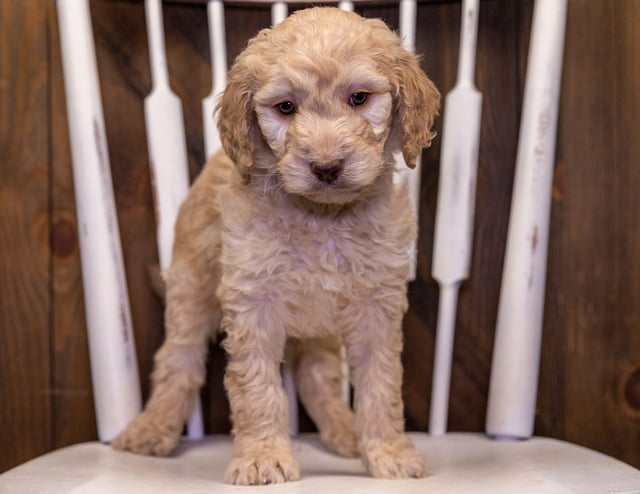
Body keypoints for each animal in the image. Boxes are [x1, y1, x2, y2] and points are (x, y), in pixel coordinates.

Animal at [112, 6, 438, 486]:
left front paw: (388, 452)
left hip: (320, 326)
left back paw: (345, 431)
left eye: (359, 98)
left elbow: (381, 384)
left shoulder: (377, 306)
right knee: (177, 361)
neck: (321, 217)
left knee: (316, 374)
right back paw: (151, 429)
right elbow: (257, 388)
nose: (326, 167)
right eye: (286, 107)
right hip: (191, 287)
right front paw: (263, 457)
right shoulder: (253, 302)